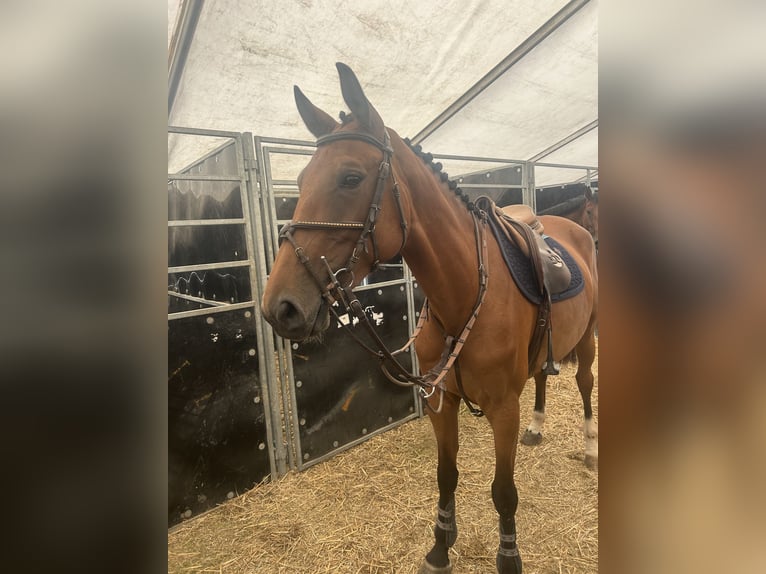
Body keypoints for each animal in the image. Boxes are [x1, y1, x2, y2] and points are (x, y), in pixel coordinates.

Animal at [261, 63, 598, 574]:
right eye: (299, 181)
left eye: (351, 177)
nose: (280, 307)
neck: (461, 296)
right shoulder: (442, 400)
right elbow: (446, 474)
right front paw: (440, 546)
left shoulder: (504, 408)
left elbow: (504, 493)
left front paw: (508, 558)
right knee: (544, 373)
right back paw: (539, 428)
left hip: (593, 334)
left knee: (585, 383)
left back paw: (592, 445)